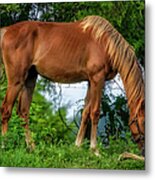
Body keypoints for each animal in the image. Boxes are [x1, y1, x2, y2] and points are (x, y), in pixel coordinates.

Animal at [0, 15, 145, 158]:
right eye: (142, 122)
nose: (143, 152)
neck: (105, 43)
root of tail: (6, 31)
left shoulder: (90, 82)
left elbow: (86, 112)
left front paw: (77, 146)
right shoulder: (98, 79)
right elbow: (95, 112)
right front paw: (95, 150)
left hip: (30, 79)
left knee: (23, 112)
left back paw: (31, 147)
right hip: (16, 81)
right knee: (6, 110)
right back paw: (5, 145)